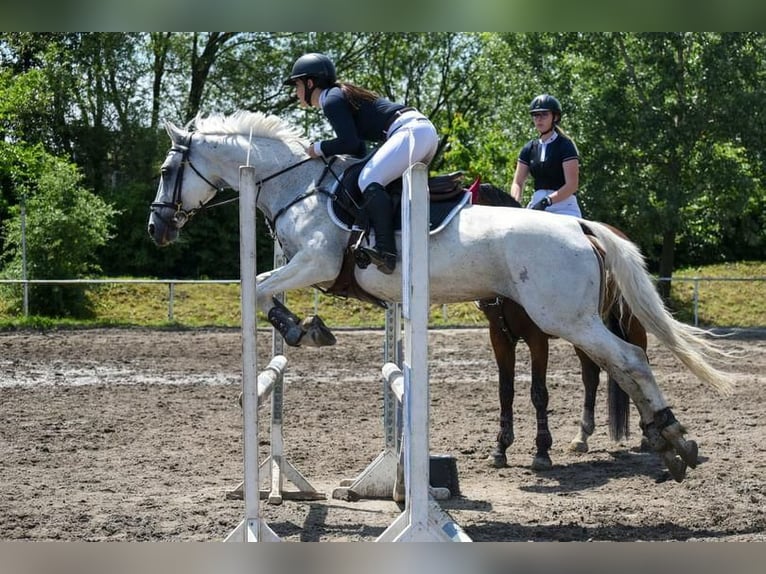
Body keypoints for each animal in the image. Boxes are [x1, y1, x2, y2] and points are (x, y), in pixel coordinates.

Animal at [148, 110, 732, 484]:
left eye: (167, 171)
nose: (157, 228)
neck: (297, 187)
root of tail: (581, 227)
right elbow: (264, 290)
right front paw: (306, 327)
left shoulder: (316, 263)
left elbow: (258, 288)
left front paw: (300, 329)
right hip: (573, 320)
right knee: (617, 367)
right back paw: (664, 443)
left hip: (564, 318)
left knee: (629, 360)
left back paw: (674, 440)